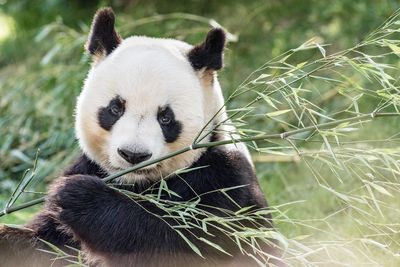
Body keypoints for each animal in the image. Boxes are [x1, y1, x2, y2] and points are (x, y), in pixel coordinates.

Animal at [0, 7, 282, 267]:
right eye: (115, 108)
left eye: (165, 118)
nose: (133, 155)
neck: (137, 184)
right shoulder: (89, 167)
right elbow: (43, 244)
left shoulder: (223, 182)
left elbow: (185, 244)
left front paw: (79, 197)